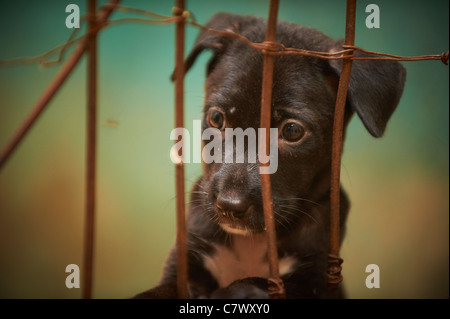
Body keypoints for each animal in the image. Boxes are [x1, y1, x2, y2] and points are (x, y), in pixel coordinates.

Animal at [135, 12, 406, 300]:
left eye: (293, 130)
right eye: (216, 118)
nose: (229, 207)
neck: (251, 242)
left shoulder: (316, 278)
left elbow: (255, 283)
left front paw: (228, 293)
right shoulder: (187, 260)